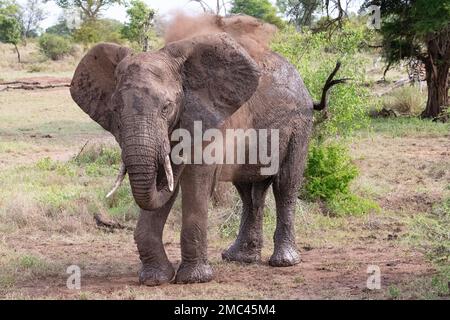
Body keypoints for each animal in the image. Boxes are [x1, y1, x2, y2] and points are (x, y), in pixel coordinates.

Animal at [70, 20, 344, 284]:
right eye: (115, 109)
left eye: (167, 107)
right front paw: (154, 279)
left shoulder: (211, 119)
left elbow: (197, 181)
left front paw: (194, 279)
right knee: (249, 192)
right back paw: (239, 258)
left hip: (300, 126)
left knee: (285, 185)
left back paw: (284, 262)